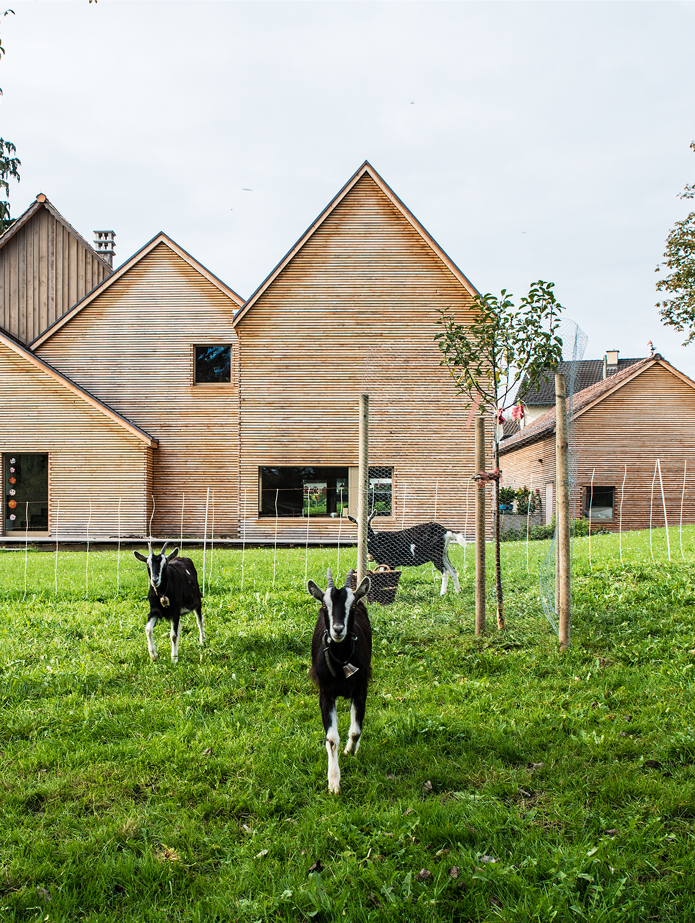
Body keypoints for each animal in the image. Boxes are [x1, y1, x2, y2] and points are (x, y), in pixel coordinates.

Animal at [308, 568, 372, 796]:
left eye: (351, 606)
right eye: (324, 605)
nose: (337, 630)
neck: (342, 659)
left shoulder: (361, 689)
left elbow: (355, 731)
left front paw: (350, 750)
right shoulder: (326, 694)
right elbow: (332, 739)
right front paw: (334, 782)